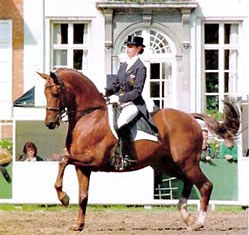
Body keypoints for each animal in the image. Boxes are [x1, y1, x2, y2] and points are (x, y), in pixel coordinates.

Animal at [38, 68, 240, 231]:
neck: (89, 117)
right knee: (189, 182)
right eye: (44, 92)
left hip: (187, 162)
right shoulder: (83, 167)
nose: (49, 123)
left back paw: (198, 222)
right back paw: (186, 216)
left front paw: (63, 198)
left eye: (56, 92)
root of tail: (190, 117)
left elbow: (63, 160)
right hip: (168, 164)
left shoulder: (93, 160)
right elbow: (83, 196)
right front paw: (78, 225)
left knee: (205, 185)